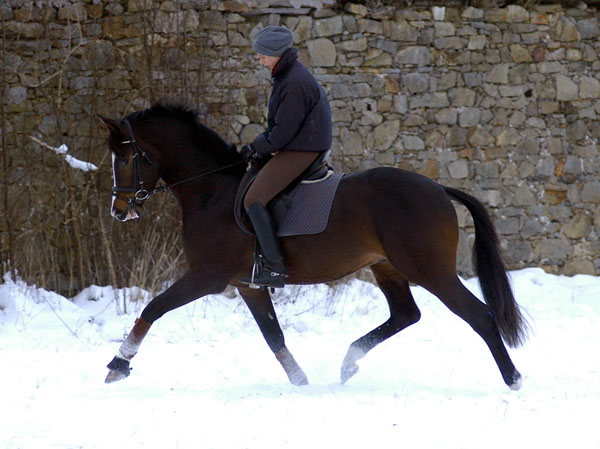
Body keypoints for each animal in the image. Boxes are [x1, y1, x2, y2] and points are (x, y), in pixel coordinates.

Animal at [101, 101, 528, 388]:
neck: (211, 191)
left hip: (430, 270)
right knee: (406, 314)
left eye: (126, 158)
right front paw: (301, 384)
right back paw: (348, 363)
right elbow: (274, 336)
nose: (119, 210)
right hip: (386, 266)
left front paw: (118, 364)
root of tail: (439, 188)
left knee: (480, 316)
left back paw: (513, 379)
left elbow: (154, 308)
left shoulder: (207, 277)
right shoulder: (247, 285)